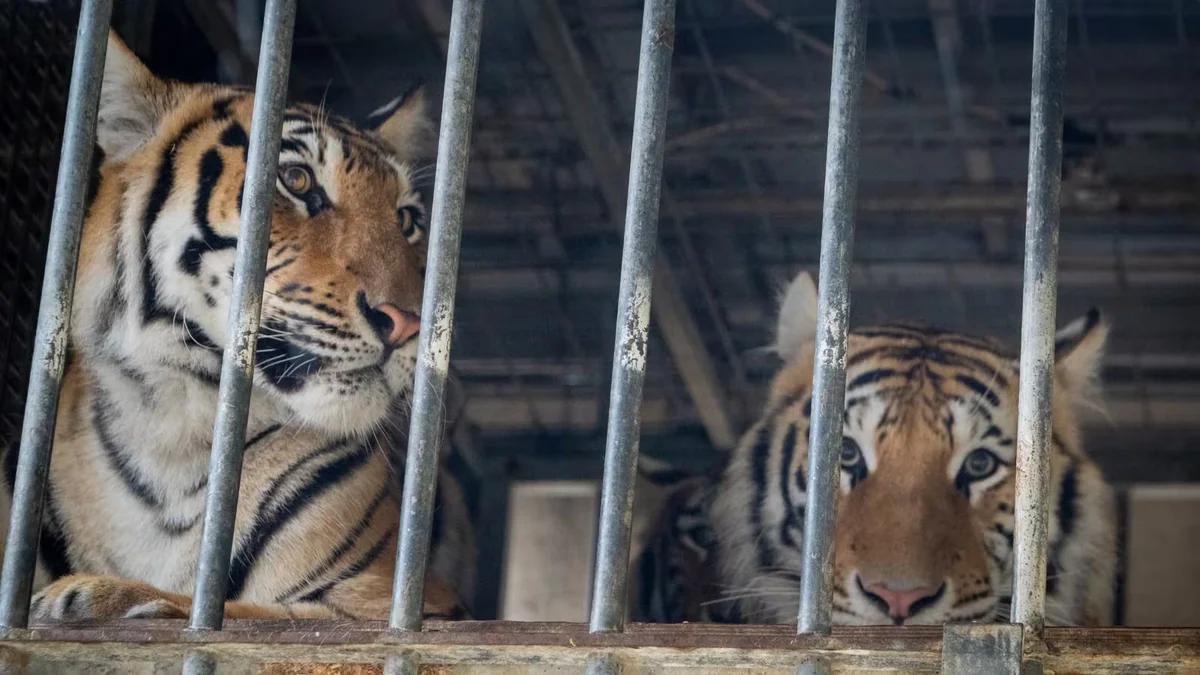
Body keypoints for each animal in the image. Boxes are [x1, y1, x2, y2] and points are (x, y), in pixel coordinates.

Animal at [0, 32, 476, 622]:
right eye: (296, 180)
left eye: (407, 220)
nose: (410, 322)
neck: (172, 432)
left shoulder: (408, 605)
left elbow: (245, 612)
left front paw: (97, 595)